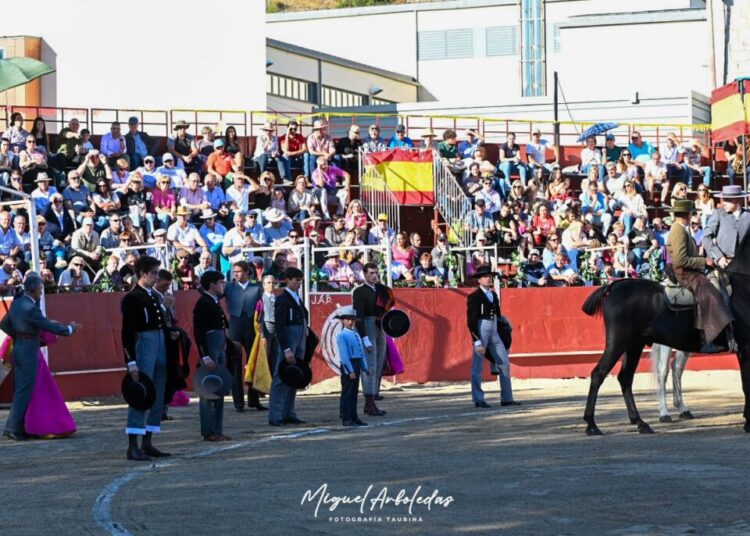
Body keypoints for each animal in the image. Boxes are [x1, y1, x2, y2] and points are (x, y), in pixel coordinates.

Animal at [584, 234, 750, 436]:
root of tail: (616, 287)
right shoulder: (745, 349)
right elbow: (747, 385)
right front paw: (748, 423)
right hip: (618, 343)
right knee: (600, 374)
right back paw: (592, 424)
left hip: (634, 346)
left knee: (626, 377)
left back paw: (640, 422)